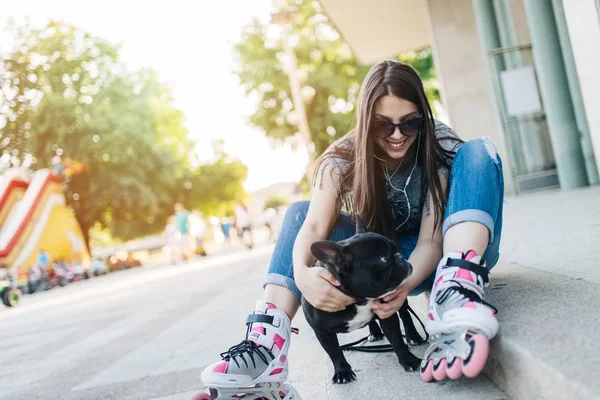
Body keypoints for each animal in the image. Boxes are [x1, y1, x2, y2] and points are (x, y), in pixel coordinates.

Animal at [302, 217, 424, 382]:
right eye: (384, 258)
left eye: (395, 249)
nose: (400, 257)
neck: (359, 300)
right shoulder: (322, 331)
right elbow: (334, 351)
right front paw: (343, 372)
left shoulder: (387, 314)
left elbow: (397, 339)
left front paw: (409, 360)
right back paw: (375, 332)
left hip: (400, 303)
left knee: (405, 314)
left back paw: (413, 335)